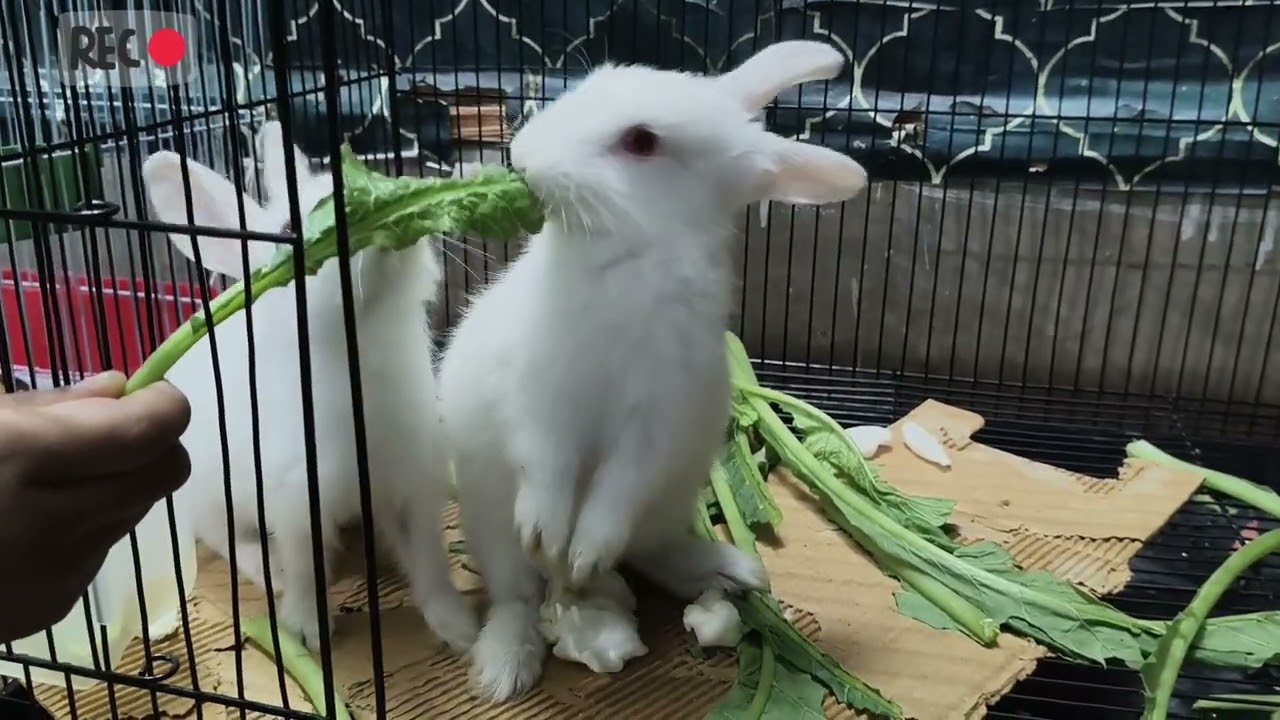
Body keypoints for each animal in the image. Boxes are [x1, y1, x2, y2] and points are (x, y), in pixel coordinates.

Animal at [141, 121, 478, 654]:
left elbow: (429, 562)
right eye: (286, 232)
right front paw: (308, 630)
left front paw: (459, 629)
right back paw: (269, 568)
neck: (355, 346)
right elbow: (304, 567)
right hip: (213, 492)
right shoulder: (295, 498)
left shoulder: (411, 483)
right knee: (222, 536)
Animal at [439, 40, 869, 701]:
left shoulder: (656, 419)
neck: (625, 263)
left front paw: (582, 553)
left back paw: (728, 572)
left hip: (668, 498)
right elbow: (544, 463)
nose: (522, 155)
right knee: (515, 595)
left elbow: (619, 486)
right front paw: (547, 533)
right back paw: (504, 668)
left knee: (649, 551)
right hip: (490, 519)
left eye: (641, 141)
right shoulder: (540, 400)